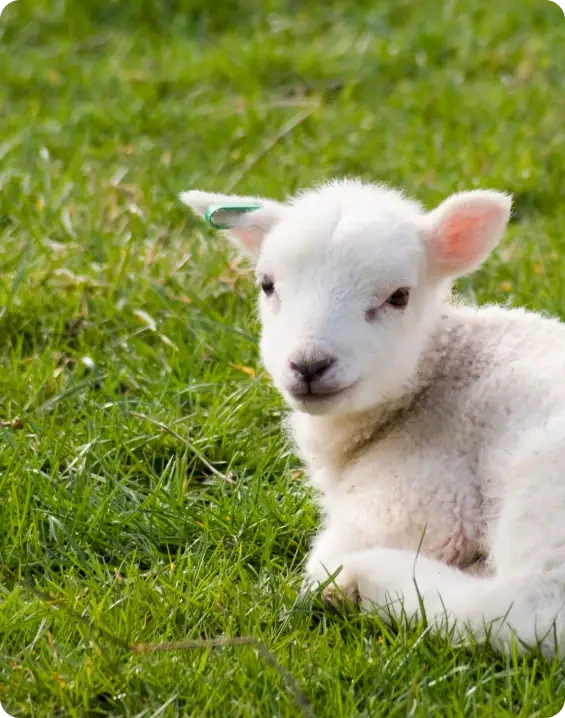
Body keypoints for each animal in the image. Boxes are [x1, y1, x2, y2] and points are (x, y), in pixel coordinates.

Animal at [181, 179, 565, 656]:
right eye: (266, 285)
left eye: (398, 296)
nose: (309, 365)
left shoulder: (424, 499)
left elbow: (323, 558)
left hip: (542, 474)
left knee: (525, 609)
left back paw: (369, 579)